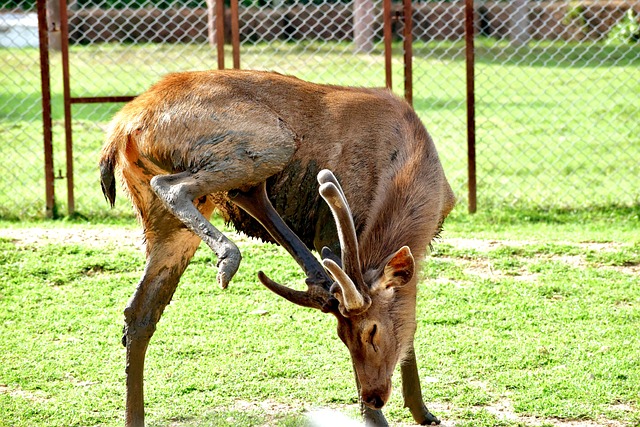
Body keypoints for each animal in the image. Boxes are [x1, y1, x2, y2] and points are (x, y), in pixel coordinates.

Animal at [99, 70, 456, 427]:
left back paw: (134, 416)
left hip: (164, 218)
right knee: (173, 186)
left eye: (372, 331)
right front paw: (378, 418)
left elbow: (410, 321)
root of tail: (121, 128)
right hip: (270, 142)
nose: (374, 396)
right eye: (344, 336)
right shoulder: (331, 231)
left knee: (139, 312)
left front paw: (423, 411)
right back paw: (228, 256)